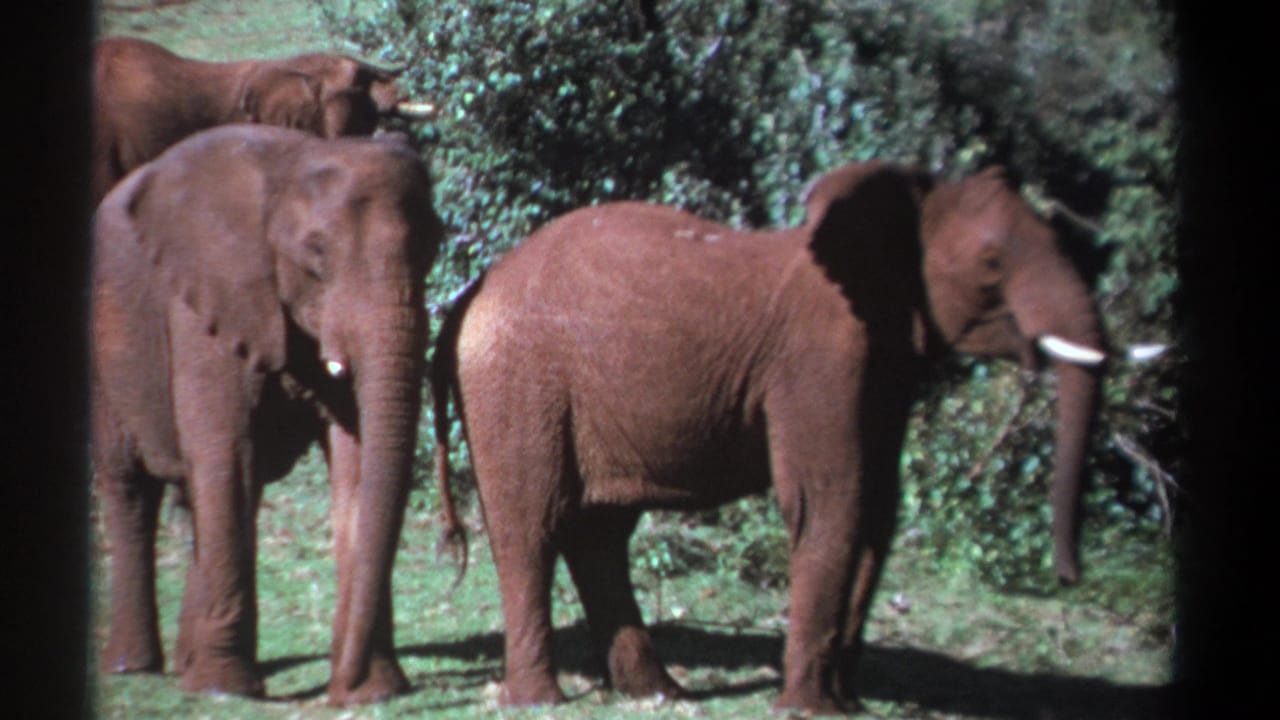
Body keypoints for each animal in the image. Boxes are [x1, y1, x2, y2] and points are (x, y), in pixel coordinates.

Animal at [91, 124, 442, 705]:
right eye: (316, 252)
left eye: (434, 246)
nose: (337, 693)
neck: (296, 162)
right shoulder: (207, 303)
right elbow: (226, 453)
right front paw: (225, 690)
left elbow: (355, 462)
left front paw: (374, 689)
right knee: (132, 488)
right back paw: (135, 667)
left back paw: (186, 664)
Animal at [428, 162, 1107, 714]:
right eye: (993, 263)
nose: (1071, 577)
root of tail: (472, 290)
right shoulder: (820, 362)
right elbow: (831, 501)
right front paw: (811, 710)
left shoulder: (882, 369)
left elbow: (877, 511)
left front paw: (845, 704)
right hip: (518, 383)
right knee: (531, 527)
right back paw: (541, 700)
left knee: (600, 534)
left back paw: (659, 693)